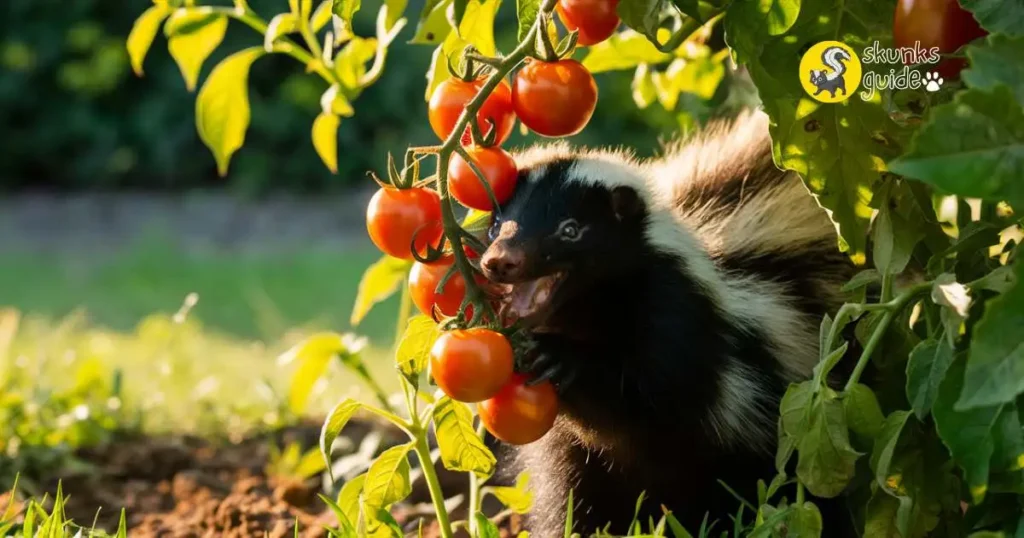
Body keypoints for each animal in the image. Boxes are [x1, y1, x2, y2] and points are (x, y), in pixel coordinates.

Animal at [477, 110, 856, 536]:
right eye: (497, 227)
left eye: (570, 230)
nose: (500, 261)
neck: (591, 314)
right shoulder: (568, 446)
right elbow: (575, 490)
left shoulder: (681, 324)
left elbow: (647, 401)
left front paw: (559, 359)